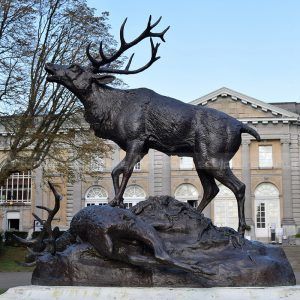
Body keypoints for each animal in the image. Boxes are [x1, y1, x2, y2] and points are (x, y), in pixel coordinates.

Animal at [44, 15, 260, 234]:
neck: (110, 110)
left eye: (75, 67)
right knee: (211, 189)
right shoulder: (143, 147)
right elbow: (115, 170)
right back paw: (196, 219)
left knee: (239, 187)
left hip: (213, 157)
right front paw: (119, 202)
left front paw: (114, 201)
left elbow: (126, 170)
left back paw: (240, 230)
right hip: (200, 158)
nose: (49, 65)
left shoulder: (136, 139)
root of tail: (240, 126)